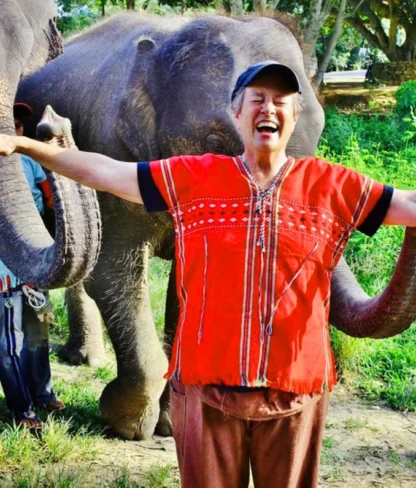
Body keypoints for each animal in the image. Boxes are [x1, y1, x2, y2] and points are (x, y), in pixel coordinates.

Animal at [17, 14, 416, 442]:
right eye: (214, 139)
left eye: (320, 134)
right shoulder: (112, 149)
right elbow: (113, 272)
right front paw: (125, 422)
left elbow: (189, 285)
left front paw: (171, 424)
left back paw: (85, 358)